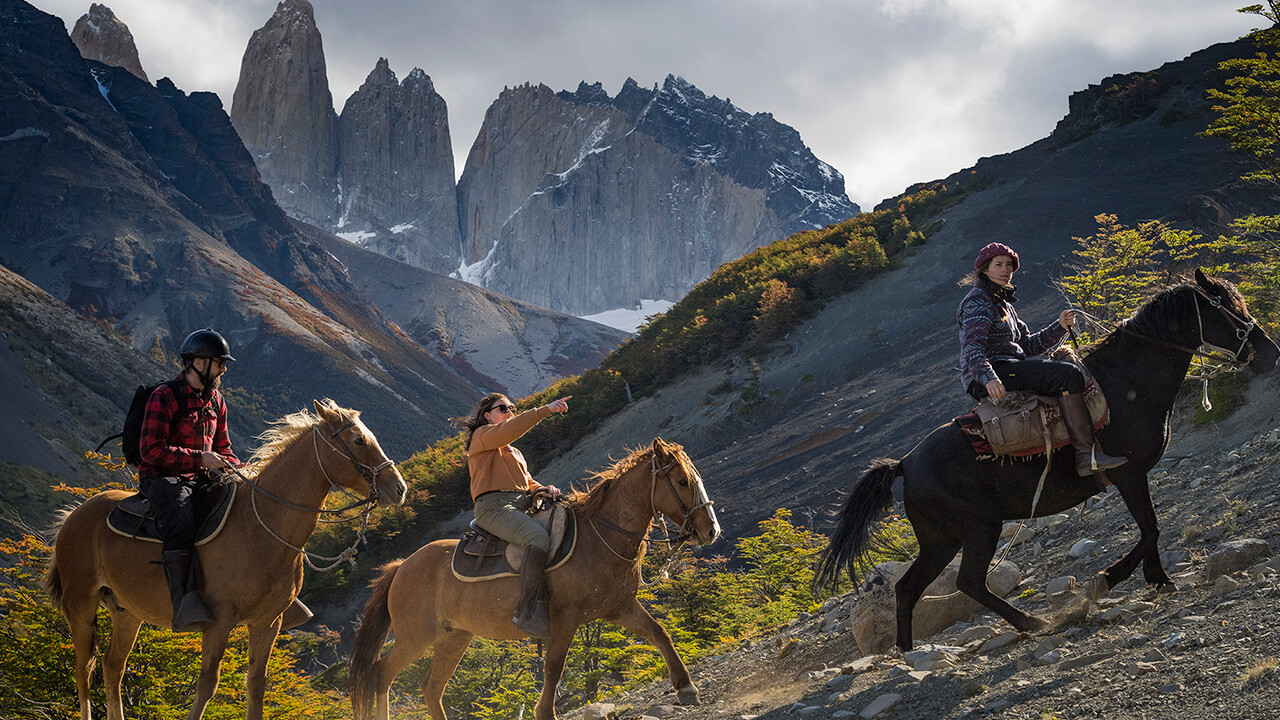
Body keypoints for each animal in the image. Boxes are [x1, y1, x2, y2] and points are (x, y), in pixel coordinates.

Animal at [46, 399, 408, 720]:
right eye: (359, 440)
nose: (399, 488)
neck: (260, 529)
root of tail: (73, 515)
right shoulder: (219, 621)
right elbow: (208, 684)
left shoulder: (268, 622)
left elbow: (257, 685)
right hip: (81, 604)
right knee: (84, 668)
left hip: (127, 613)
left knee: (113, 667)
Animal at [349, 437, 721, 720]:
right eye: (683, 481)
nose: (710, 530)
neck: (598, 537)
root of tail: (401, 567)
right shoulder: (564, 620)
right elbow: (554, 667)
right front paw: (546, 712)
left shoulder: (621, 609)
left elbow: (660, 633)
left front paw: (686, 687)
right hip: (416, 637)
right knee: (381, 675)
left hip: (453, 638)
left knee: (430, 688)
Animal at [818, 269, 1279, 652]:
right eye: (1228, 307)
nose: (1269, 352)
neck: (1126, 384)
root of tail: (904, 463)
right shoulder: (1128, 474)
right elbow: (1150, 528)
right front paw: (1111, 579)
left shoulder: (1134, 478)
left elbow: (1151, 529)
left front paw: (1156, 580)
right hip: (977, 529)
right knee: (968, 581)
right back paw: (1031, 623)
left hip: (941, 540)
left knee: (910, 588)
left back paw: (910, 651)